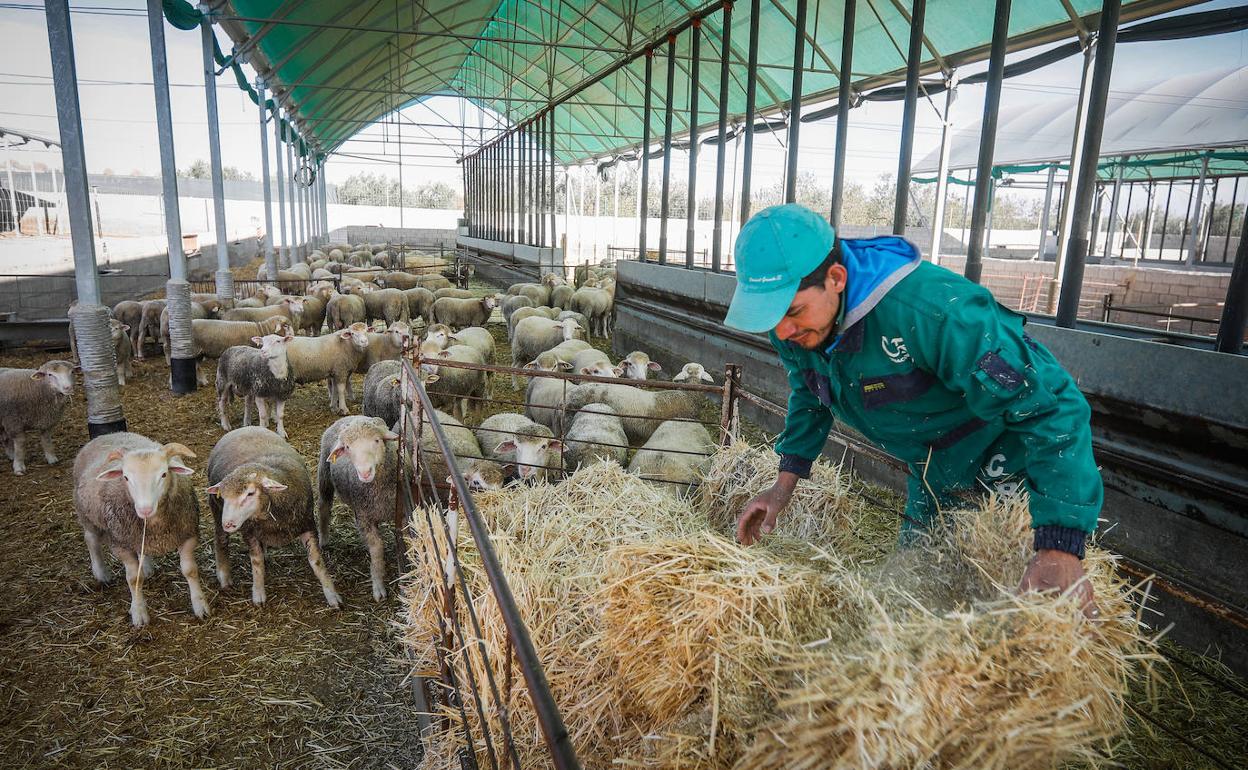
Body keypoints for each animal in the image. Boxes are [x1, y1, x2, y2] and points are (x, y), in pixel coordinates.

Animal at [72, 431, 205, 623]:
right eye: (126, 477)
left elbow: (190, 570)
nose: (145, 509)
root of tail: (109, 434)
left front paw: (200, 605)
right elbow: (134, 579)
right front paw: (139, 612)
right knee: (91, 540)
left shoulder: (187, 536)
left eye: (163, 474)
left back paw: (146, 567)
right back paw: (101, 573)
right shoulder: (121, 545)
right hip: (87, 515)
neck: (155, 525)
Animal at [204, 426, 341, 606]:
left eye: (250, 493)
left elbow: (316, 562)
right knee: (221, 541)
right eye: (223, 496)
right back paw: (224, 577)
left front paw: (332, 594)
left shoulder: (306, 524)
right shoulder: (249, 532)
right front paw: (258, 593)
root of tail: (243, 428)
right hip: (216, 511)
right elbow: (256, 562)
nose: (228, 524)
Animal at [316, 414, 399, 601]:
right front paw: (378, 585)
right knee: (324, 506)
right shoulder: (363, 517)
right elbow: (377, 548)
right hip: (324, 474)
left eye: (377, 440)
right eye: (347, 447)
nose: (365, 472)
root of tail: (351, 416)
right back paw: (323, 538)